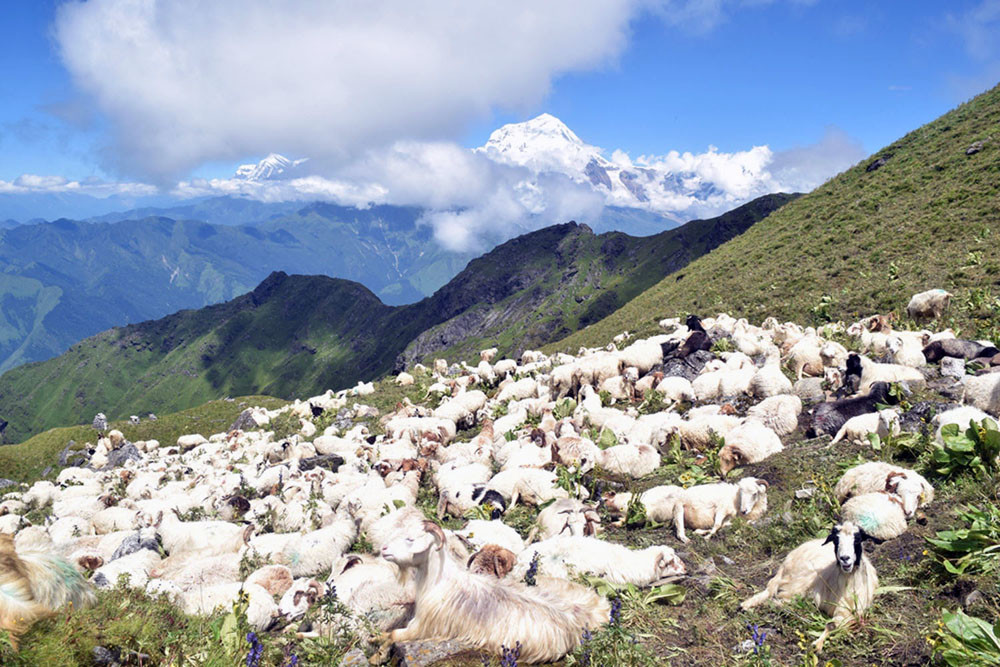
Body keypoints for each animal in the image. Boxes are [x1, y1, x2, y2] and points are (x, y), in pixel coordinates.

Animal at [740, 520, 880, 652]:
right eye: (836, 540)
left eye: (857, 539)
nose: (845, 558)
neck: (849, 583)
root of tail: (789, 559)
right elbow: (830, 625)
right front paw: (817, 646)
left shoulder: (850, 614)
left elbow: (832, 625)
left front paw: (817, 645)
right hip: (800, 581)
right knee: (776, 594)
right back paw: (748, 605)